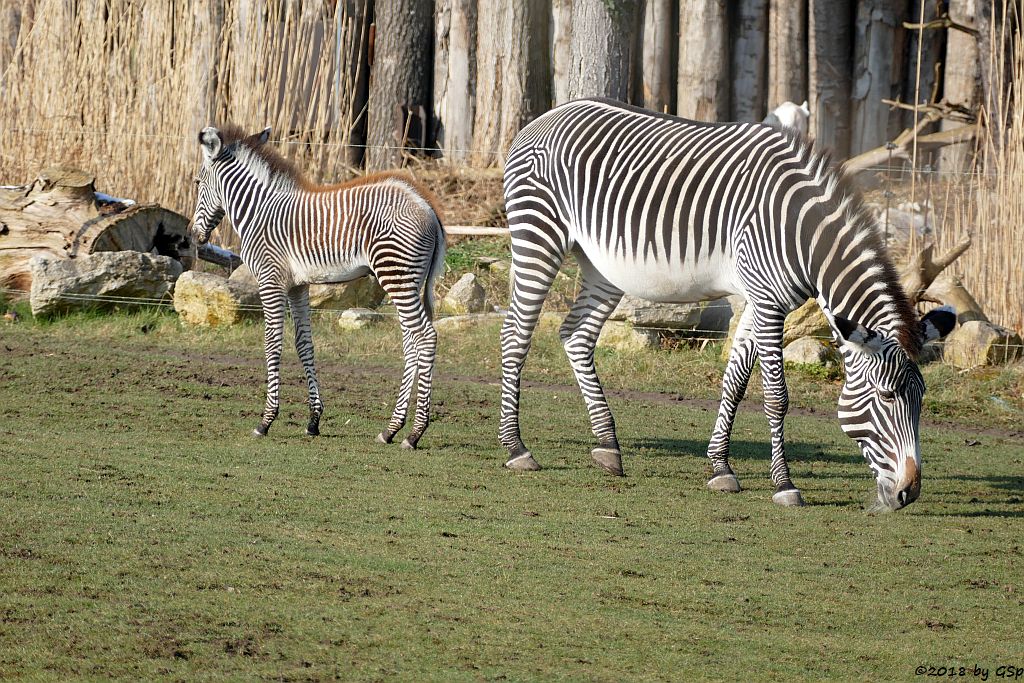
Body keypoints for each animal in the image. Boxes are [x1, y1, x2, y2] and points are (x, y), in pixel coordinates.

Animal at [190, 126, 446, 448]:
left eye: (198, 182)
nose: (193, 235)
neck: (258, 212)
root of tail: (427, 205)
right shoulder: (297, 286)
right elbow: (304, 344)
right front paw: (313, 420)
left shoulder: (270, 280)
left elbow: (272, 343)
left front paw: (266, 421)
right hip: (407, 279)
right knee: (412, 341)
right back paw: (391, 429)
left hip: (396, 274)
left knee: (426, 336)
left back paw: (414, 434)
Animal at [499, 98, 954, 509]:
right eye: (888, 397)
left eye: (921, 397)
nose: (909, 493)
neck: (802, 234)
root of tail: (546, 116)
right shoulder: (768, 302)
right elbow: (776, 396)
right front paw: (784, 485)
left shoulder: (758, 300)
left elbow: (734, 382)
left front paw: (721, 468)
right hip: (538, 235)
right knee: (515, 335)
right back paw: (516, 448)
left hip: (602, 266)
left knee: (576, 335)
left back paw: (608, 446)